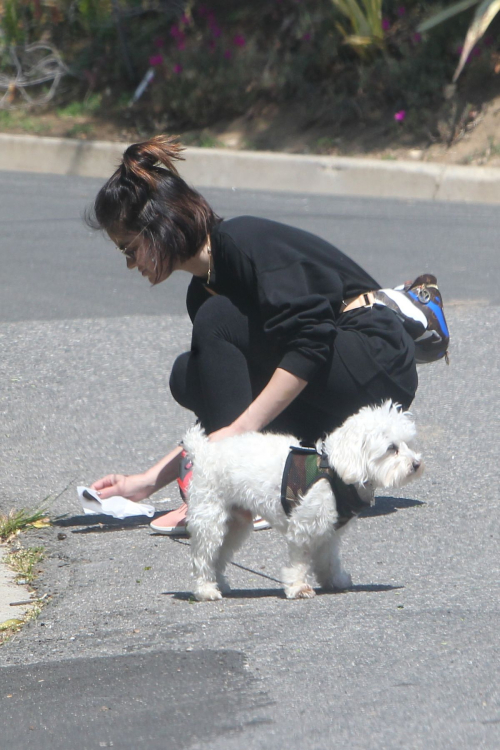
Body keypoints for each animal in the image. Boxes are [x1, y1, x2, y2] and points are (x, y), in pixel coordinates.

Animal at [182, 402, 424, 604]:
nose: (416, 464)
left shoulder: (330, 531)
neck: (337, 471)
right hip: (210, 519)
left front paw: (334, 579)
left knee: (219, 555)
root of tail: (204, 451)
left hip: (235, 524)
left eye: (408, 444)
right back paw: (206, 589)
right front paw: (298, 586)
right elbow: (300, 560)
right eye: (391, 448)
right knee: (203, 557)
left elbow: (329, 558)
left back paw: (218, 583)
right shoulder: (304, 527)